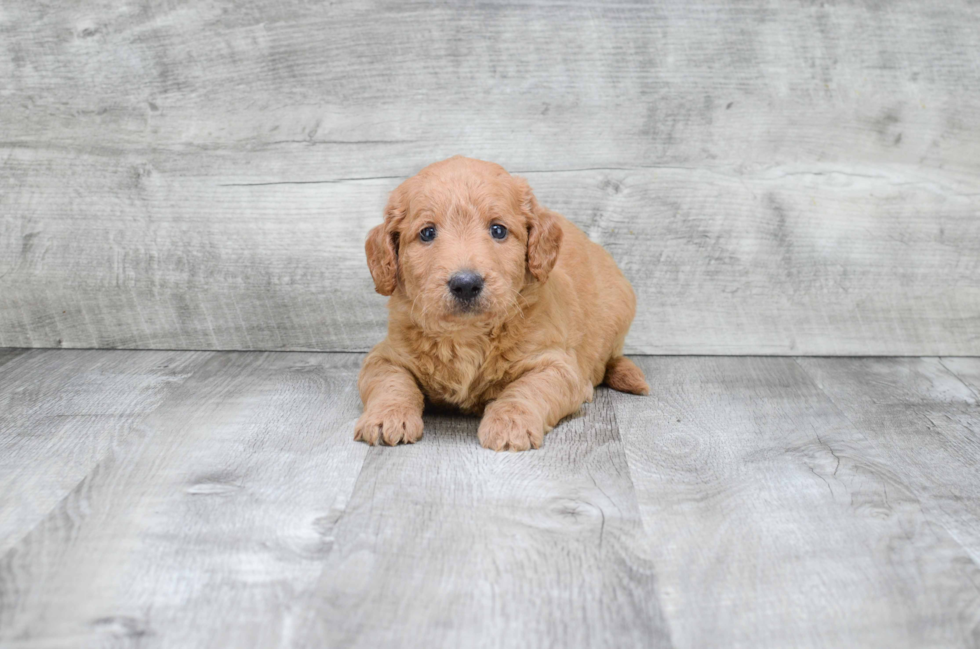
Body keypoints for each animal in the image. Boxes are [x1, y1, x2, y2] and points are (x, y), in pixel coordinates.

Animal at [356, 157, 648, 450]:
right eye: (427, 233)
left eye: (498, 230)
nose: (465, 284)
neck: (467, 335)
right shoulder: (385, 356)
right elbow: (391, 382)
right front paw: (388, 417)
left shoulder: (557, 365)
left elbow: (528, 389)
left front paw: (510, 424)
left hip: (621, 308)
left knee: (611, 357)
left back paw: (628, 374)